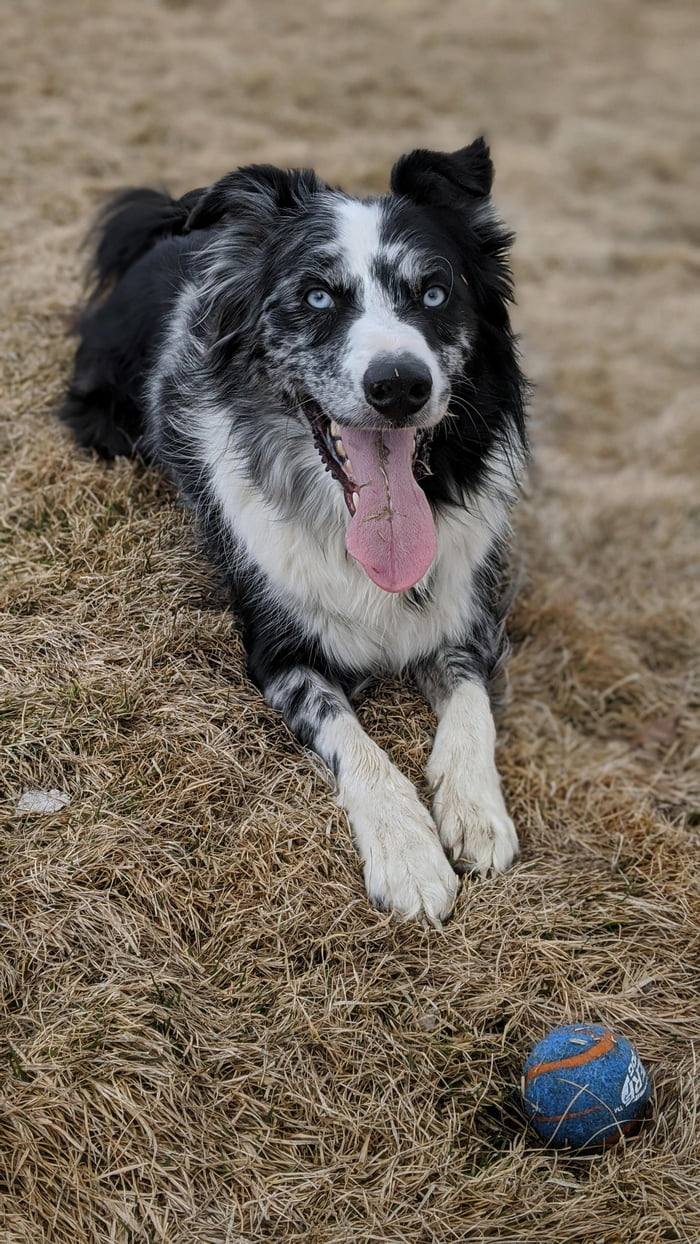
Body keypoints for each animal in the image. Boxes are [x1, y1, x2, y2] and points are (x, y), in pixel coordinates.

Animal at [60, 141, 529, 930]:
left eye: (435, 294)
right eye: (316, 298)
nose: (399, 385)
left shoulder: (466, 613)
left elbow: (472, 708)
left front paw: (475, 811)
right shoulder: (277, 652)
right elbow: (352, 738)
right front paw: (409, 855)